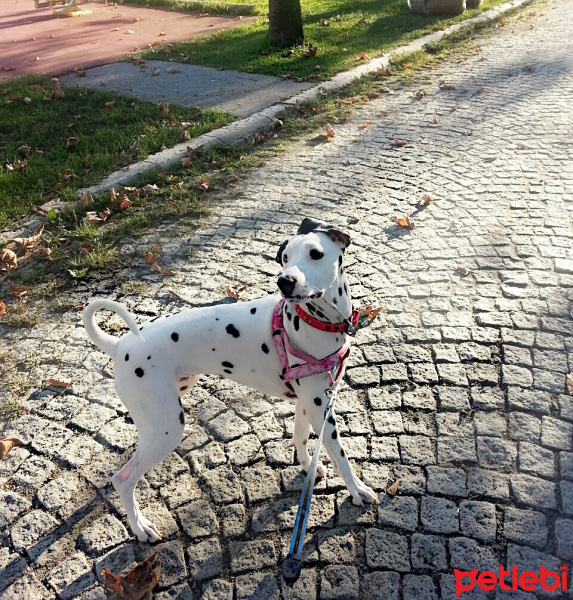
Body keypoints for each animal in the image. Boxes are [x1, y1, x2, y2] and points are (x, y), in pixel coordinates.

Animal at [84, 218, 376, 540]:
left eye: (315, 253)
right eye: (285, 257)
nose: (284, 282)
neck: (315, 323)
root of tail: (120, 344)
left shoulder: (308, 403)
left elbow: (299, 438)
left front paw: (307, 468)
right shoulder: (321, 408)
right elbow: (341, 456)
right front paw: (357, 490)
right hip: (165, 431)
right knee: (122, 479)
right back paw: (140, 527)